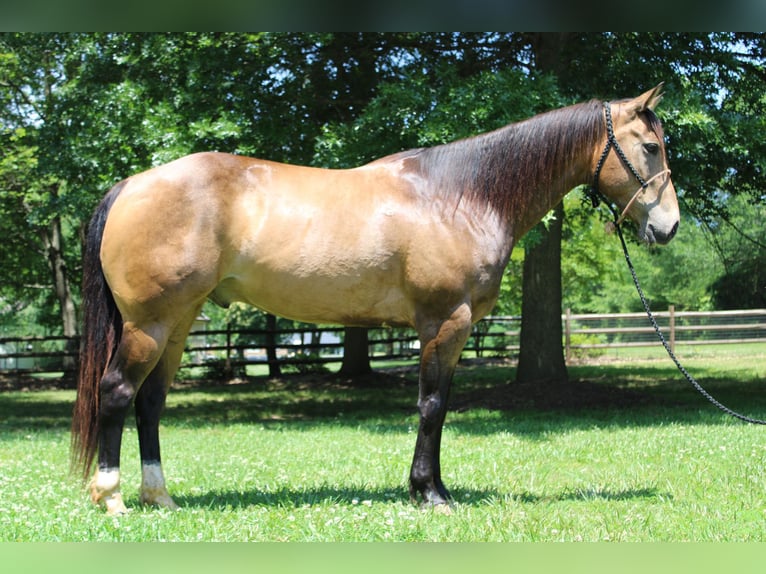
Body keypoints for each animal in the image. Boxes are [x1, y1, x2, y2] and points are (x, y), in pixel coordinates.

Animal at [72, 82, 680, 516]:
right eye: (650, 147)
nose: (669, 227)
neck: (460, 195)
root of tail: (131, 185)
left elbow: (438, 405)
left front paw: (429, 488)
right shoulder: (444, 322)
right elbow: (432, 405)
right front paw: (430, 494)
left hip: (178, 323)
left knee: (150, 404)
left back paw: (160, 498)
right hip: (149, 323)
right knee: (118, 392)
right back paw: (113, 498)